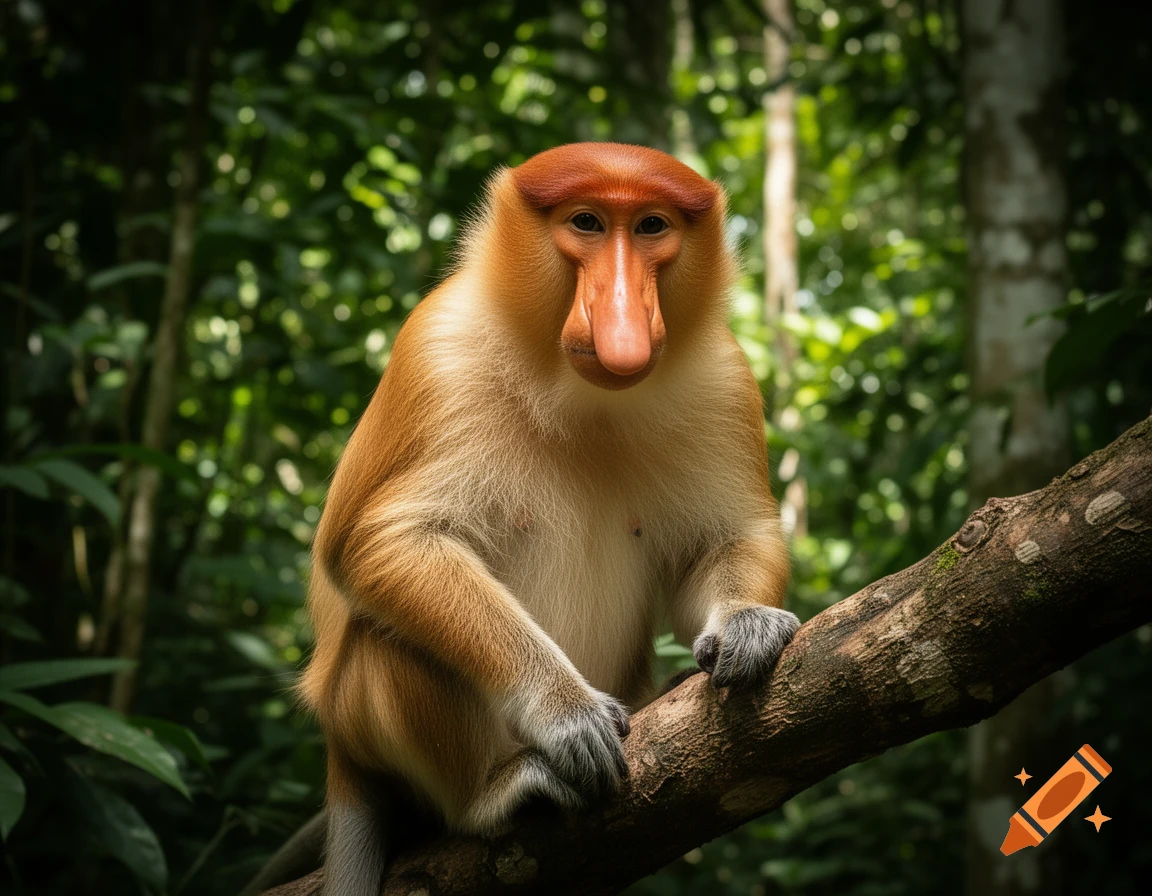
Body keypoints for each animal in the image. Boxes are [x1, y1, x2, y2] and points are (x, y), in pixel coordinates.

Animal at [291, 142, 798, 896]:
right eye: (586, 222)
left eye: (651, 226)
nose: (622, 318)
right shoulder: (439, 351)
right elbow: (384, 544)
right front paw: (565, 714)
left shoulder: (724, 378)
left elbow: (721, 544)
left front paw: (746, 624)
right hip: (359, 717)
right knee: (389, 642)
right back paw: (491, 795)